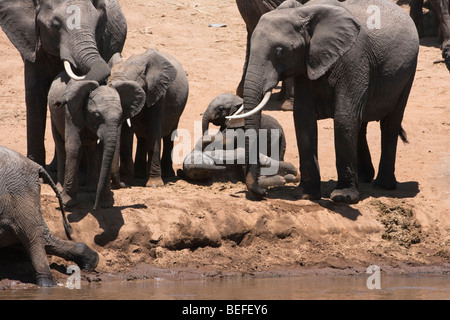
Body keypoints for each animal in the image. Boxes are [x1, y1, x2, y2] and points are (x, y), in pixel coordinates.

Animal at [0, 0, 127, 166]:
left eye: (97, 25)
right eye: (55, 25)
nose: (59, 102)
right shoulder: (31, 42)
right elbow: (35, 93)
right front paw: (36, 166)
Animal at [0, 146, 98, 286]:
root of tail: (36, 166)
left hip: (20, 191)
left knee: (32, 236)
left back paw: (47, 285)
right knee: (39, 237)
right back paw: (90, 261)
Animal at [229, 0, 422, 204]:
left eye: (280, 51)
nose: (262, 193)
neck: (302, 13)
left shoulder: (354, 59)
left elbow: (344, 119)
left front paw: (343, 198)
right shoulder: (305, 64)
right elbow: (303, 119)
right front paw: (305, 195)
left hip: (408, 72)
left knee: (390, 123)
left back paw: (384, 185)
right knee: (361, 123)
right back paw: (364, 178)